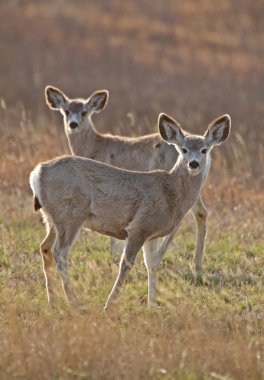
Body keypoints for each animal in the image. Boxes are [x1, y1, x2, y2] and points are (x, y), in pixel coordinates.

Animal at [29, 111, 230, 308]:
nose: (194, 163)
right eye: (184, 149)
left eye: (204, 150)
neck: (170, 193)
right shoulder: (139, 227)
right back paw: (75, 303)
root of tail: (37, 173)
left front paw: (152, 304)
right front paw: (110, 305)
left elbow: (151, 265)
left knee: (45, 247)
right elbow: (126, 264)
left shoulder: (152, 234)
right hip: (71, 215)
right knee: (60, 252)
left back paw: (53, 302)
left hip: (52, 218)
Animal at [45, 85, 209, 268]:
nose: (73, 124)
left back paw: (162, 258)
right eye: (66, 111)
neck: (94, 146)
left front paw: (113, 253)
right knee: (201, 213)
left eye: (84, 112)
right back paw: (196, 264)